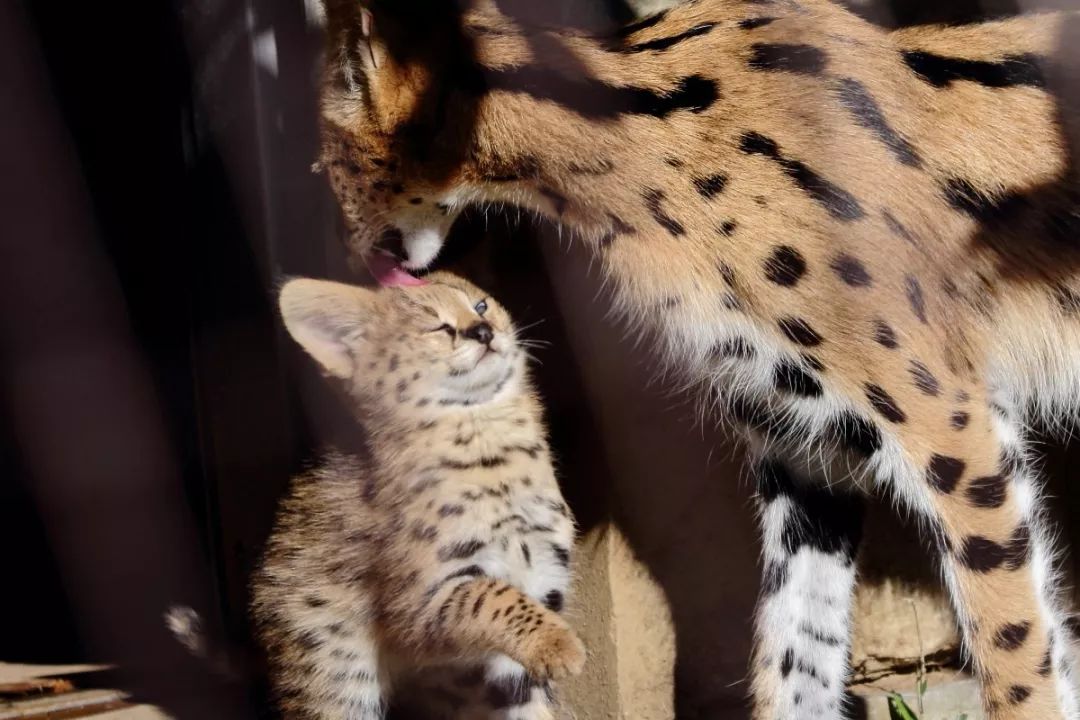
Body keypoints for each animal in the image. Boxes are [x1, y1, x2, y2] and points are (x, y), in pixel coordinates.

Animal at [253, 272, 587, 720]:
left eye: (481, 306)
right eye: (436, 326)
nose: (483, 331)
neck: (490, 441)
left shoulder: (544, 577)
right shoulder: (419, 607)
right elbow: (492, 595)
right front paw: (558, 643)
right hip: (333, 670)